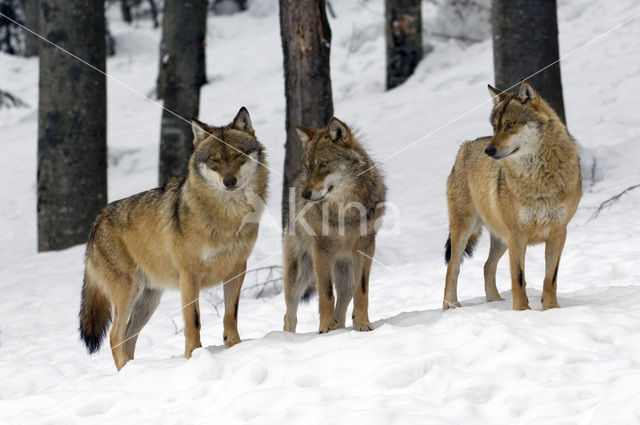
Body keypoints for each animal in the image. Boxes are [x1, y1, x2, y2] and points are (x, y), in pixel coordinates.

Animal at [77, 107, 268, 370]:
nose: (229, 182)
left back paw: (133, 371)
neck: (228, 216)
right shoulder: (189, 276)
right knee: (115, 336)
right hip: (129, 293)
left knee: (128, 337)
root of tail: (97, 221)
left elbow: (231, 314)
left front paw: (236, 347)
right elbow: (194, 320)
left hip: (148, 301)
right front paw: (194, 355)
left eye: (238, 156)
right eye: (215, 160)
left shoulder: (237, 269)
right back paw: (127, 370)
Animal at [284, 117, 384, 332]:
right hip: (298, 278)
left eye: (323, 164)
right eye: (308, 166)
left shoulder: (366, 245)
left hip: (346, 279)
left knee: (343, 306)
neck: (347, 209)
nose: (305, 194)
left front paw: (363, 324)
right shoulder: (322, 249)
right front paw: (326, 329)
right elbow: (326, 293)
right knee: (289, 316)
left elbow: (362, 290)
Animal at [444, 81, 580, 310]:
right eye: (495, 126)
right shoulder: (517, 235)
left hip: (501, 238)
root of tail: (465, 146)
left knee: (487, 266)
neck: (538, 179)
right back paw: (450, 307)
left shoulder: (559, 233)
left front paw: (551, 309)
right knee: (452, 268)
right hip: (465, 230)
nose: (489, 151)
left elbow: (550, 278)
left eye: (511, 124)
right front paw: (522, 311)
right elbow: (518, 277)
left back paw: (495, 300)